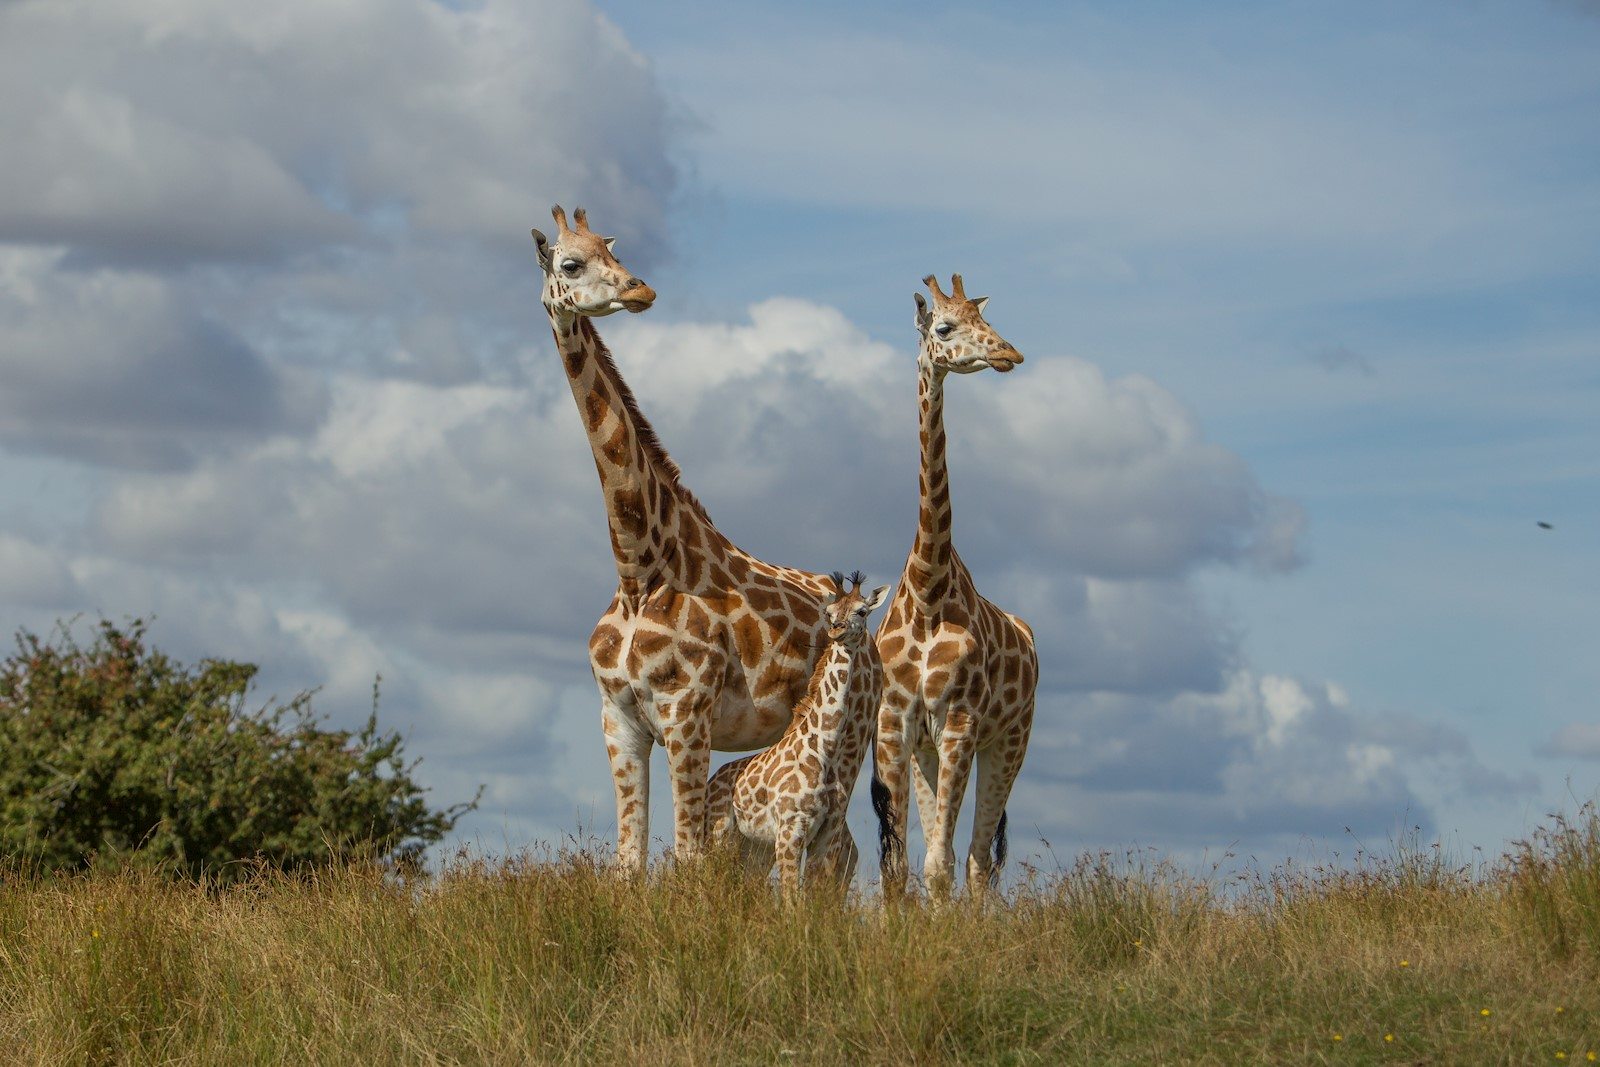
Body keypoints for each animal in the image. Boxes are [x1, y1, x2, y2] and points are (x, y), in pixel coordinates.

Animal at [530, 205, 838, 873]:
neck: (638, 566)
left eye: (614, 251)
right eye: (571, 263)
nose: (640, 290)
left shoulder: (686, 715)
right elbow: (629, 861)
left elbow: (689, 856)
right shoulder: (619, 721)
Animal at [705, 571, 888, 897]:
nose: (837, 631)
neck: (823, 752)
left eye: (862, 611)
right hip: (721, 834)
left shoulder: (823, 835)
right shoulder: (790, 831)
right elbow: (792, 897)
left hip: (753, 845)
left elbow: (810, 897)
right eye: (829, 613)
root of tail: (715, 779)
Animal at [871, 273, 1038, 901]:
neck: (928, 587)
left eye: (984, 319)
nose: (1009, 352)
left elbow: (941, 863)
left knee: (978, 861)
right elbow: (898, 867)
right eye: (944, 327)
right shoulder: (897, 725)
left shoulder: (961, 726)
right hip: (931, 748)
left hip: (1010, 742)